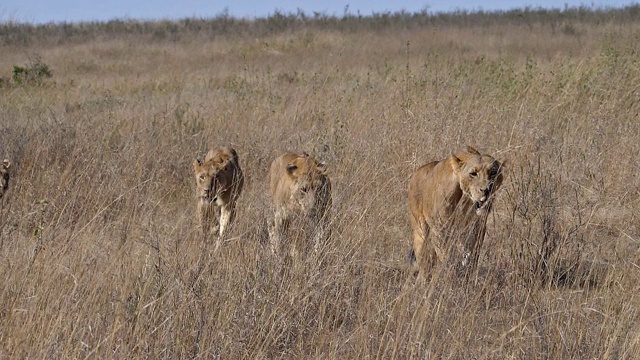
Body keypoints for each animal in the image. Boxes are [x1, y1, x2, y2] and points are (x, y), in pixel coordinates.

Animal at [410, 146, 504, 278]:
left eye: (493, 172)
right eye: (473, 174)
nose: (486, 190)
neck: (466, 201)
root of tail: (416, 173)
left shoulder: (476, 228)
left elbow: (472, 255)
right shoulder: (440, 229)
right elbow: (446, 256)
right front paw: (448, 274)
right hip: (421, 231)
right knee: (424, 263)